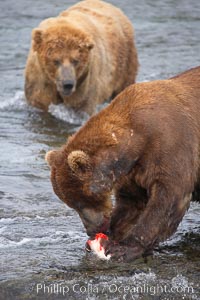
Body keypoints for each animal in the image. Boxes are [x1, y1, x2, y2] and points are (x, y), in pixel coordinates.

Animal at [45, 67, 200, 262]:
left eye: (81, 200)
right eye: (70, 203)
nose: (91, 229)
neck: (137, 139)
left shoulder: (172, 145)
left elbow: (168, 198)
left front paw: (124, 248)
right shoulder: (134, 170)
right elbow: (131, 201)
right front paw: (109, 236)